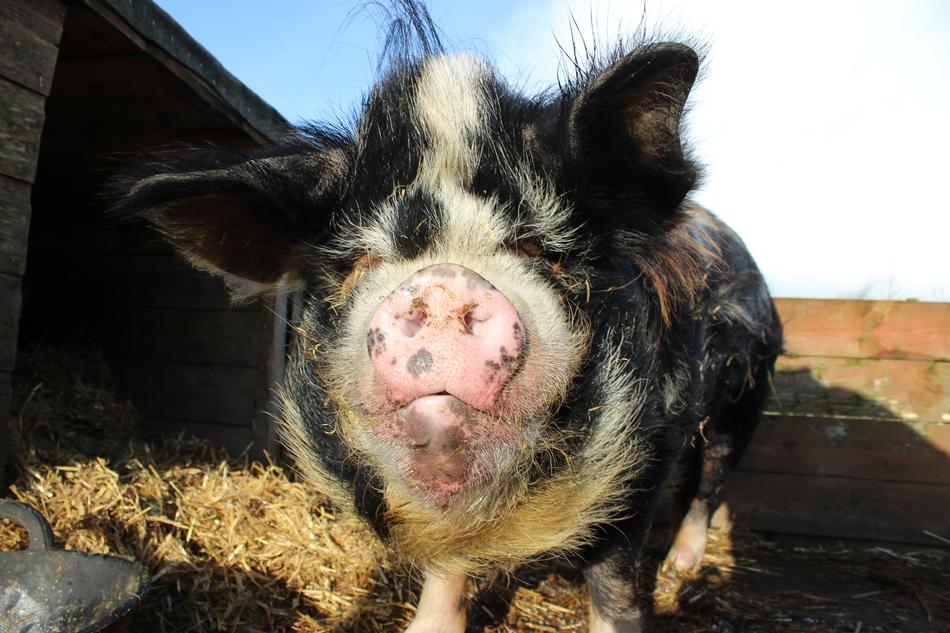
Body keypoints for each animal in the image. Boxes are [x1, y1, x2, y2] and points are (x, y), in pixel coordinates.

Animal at [112, 6, 782, 631]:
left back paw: (681, 568)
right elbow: (445, 566)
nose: (441, 285)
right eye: (361, 260)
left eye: (541, 250)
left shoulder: (646, 454)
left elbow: (614, 585)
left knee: (713, 479)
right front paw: (424, 625)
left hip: (748, 396)